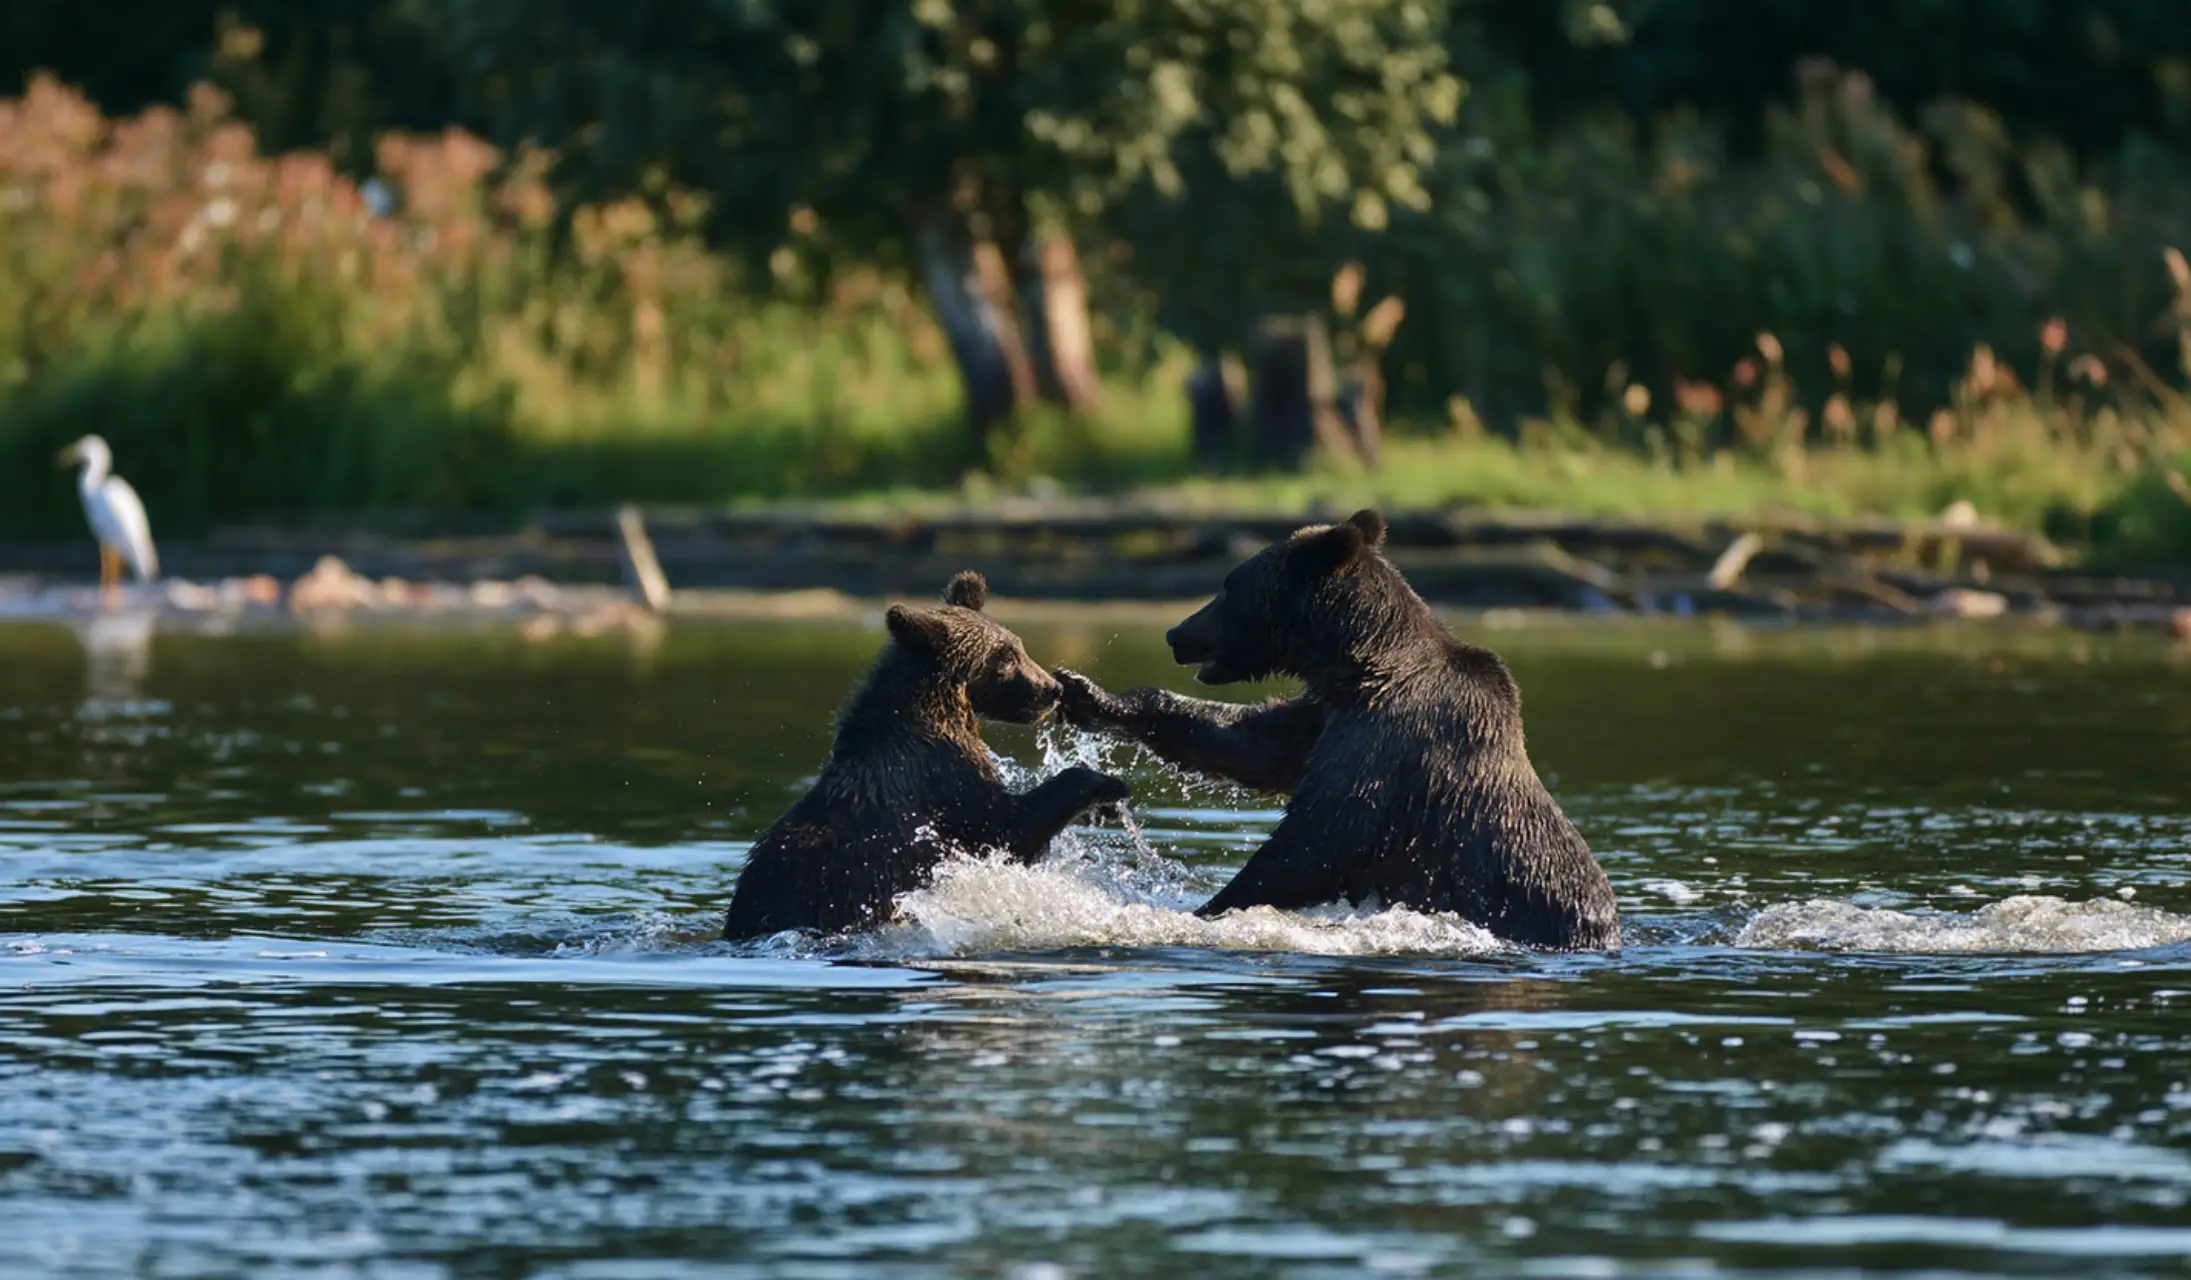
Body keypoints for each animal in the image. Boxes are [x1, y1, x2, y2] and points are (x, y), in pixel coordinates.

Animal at [723, 571, 1131, 941]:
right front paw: (1108, 784)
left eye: (1018, 644)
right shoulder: (942, 777)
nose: (1051, 689)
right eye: (1004, 658)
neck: (938, 712)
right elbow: (1006, 830)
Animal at [1055, 509, 1620, 951]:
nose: (1177, 633)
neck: (1360, 663)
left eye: (1229, 585)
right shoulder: (1322, 718)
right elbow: (1243, 744)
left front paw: (1205, 908)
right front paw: (1090, 694)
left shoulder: (1389, 745)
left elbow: (1317, 838)